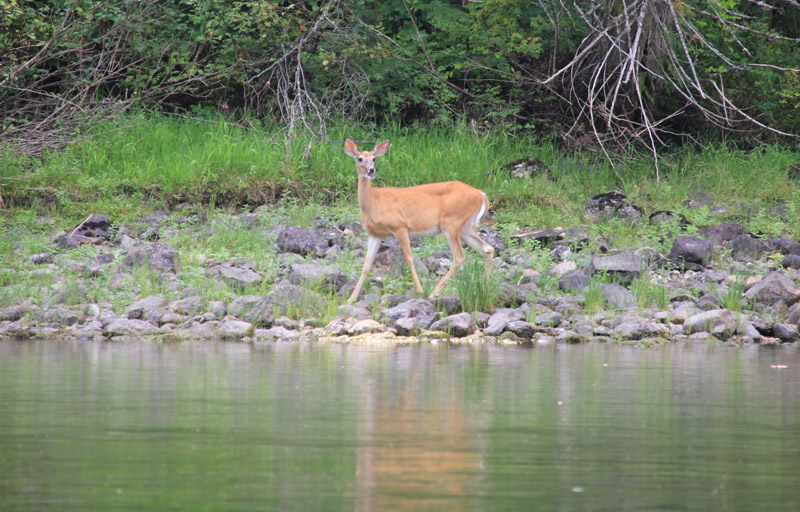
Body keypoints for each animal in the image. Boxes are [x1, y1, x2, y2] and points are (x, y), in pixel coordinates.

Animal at [344, 137, 494, 304]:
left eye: (374, 158)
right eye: (360, 158)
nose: (371, 170)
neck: (373, 202)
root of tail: (481, 194)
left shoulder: (400, 226)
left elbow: (409, 258)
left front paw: (420, 290)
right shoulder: (374, 234)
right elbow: (366, 264)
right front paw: (351, 299)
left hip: (451, 223)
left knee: (459, 257)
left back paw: (433, 293)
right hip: (465, 227)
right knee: (487, 249)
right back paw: (486, 287)